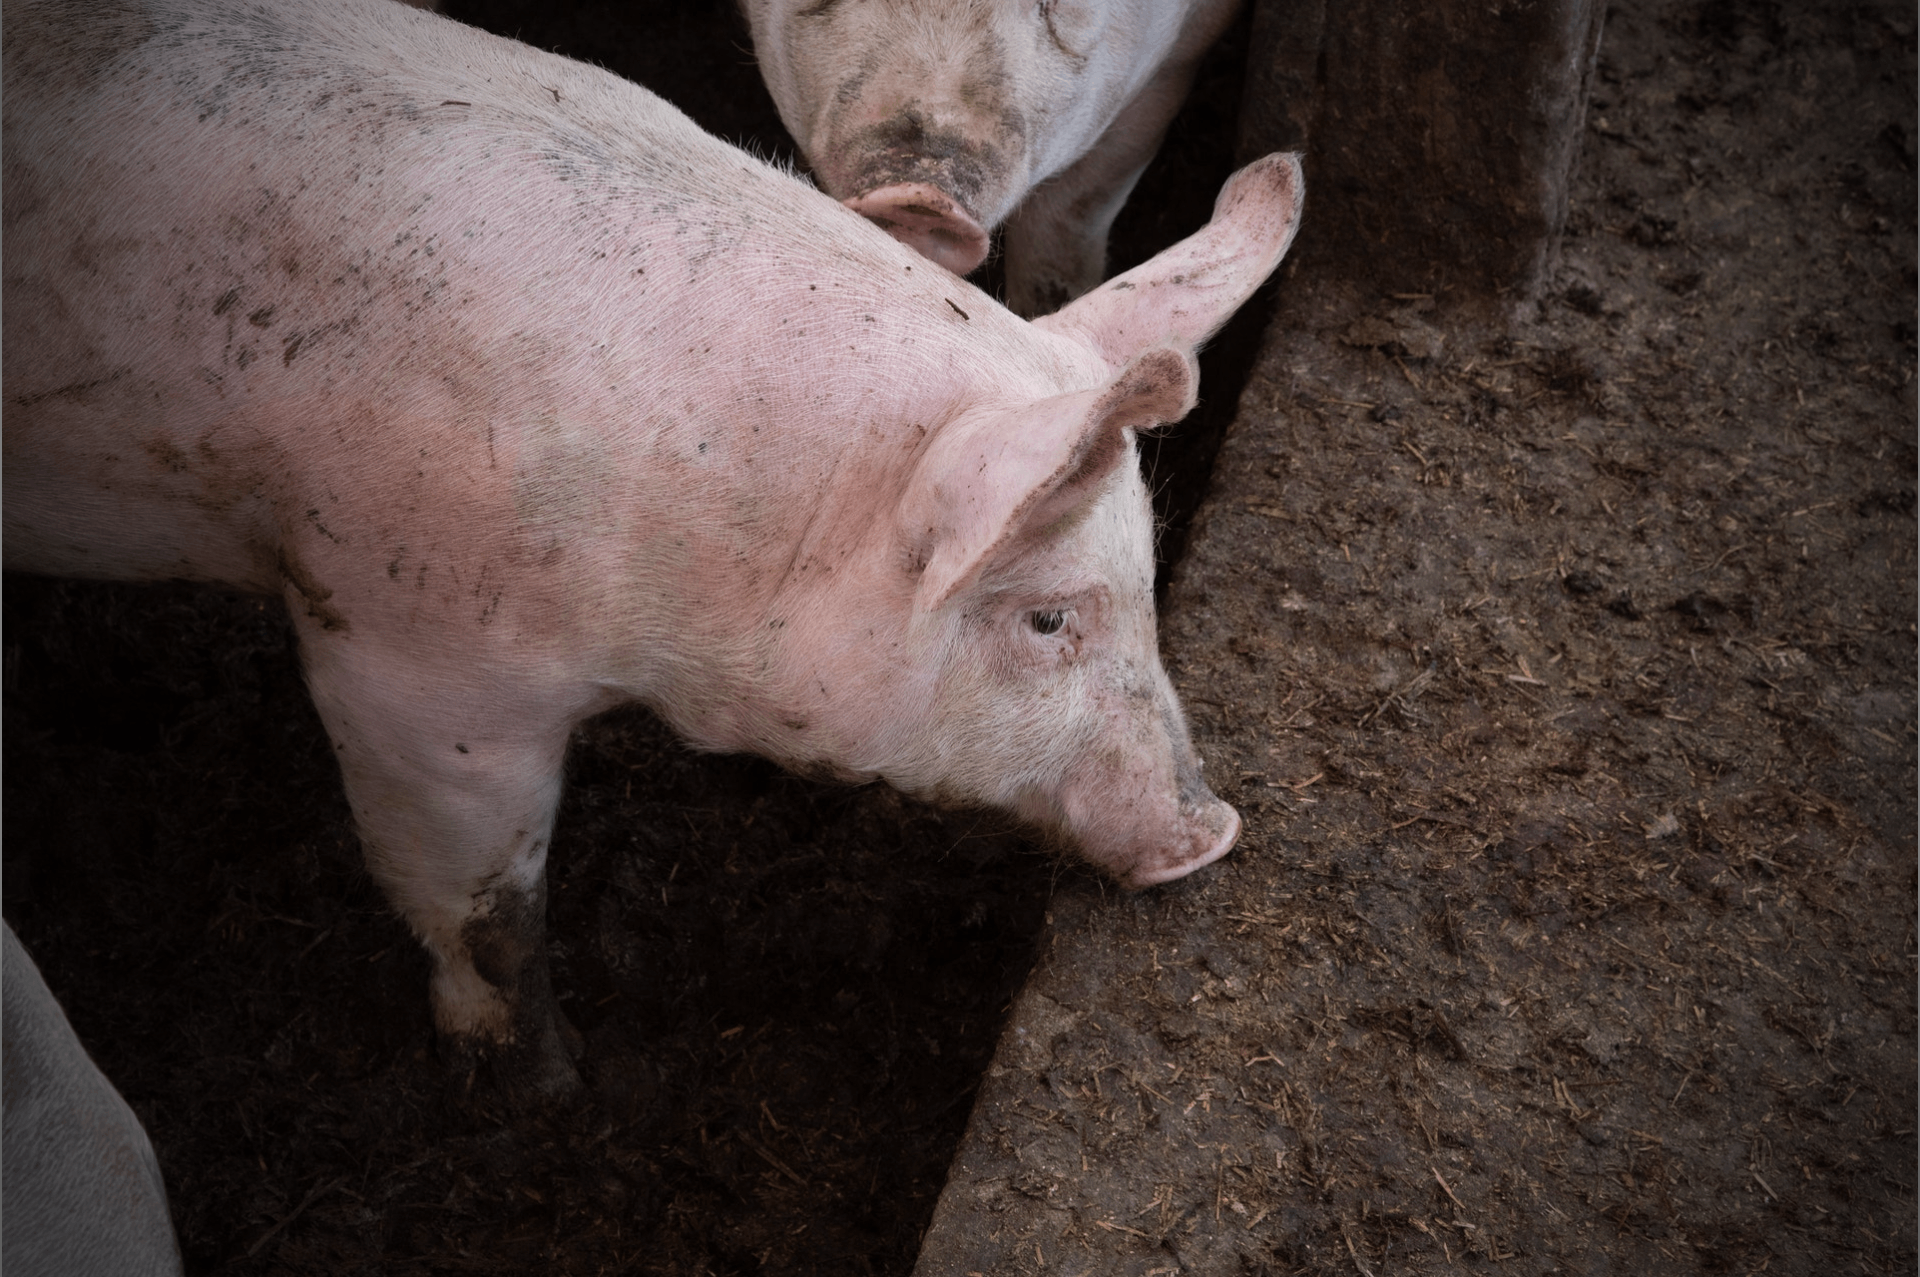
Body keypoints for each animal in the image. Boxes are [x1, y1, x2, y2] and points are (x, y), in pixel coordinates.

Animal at [3, 0, 1305, 1098]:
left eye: (1150, 591)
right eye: (1047, 617)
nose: (1211, 833)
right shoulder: (400, 658)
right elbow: (480, 901)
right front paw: (548, 1087)